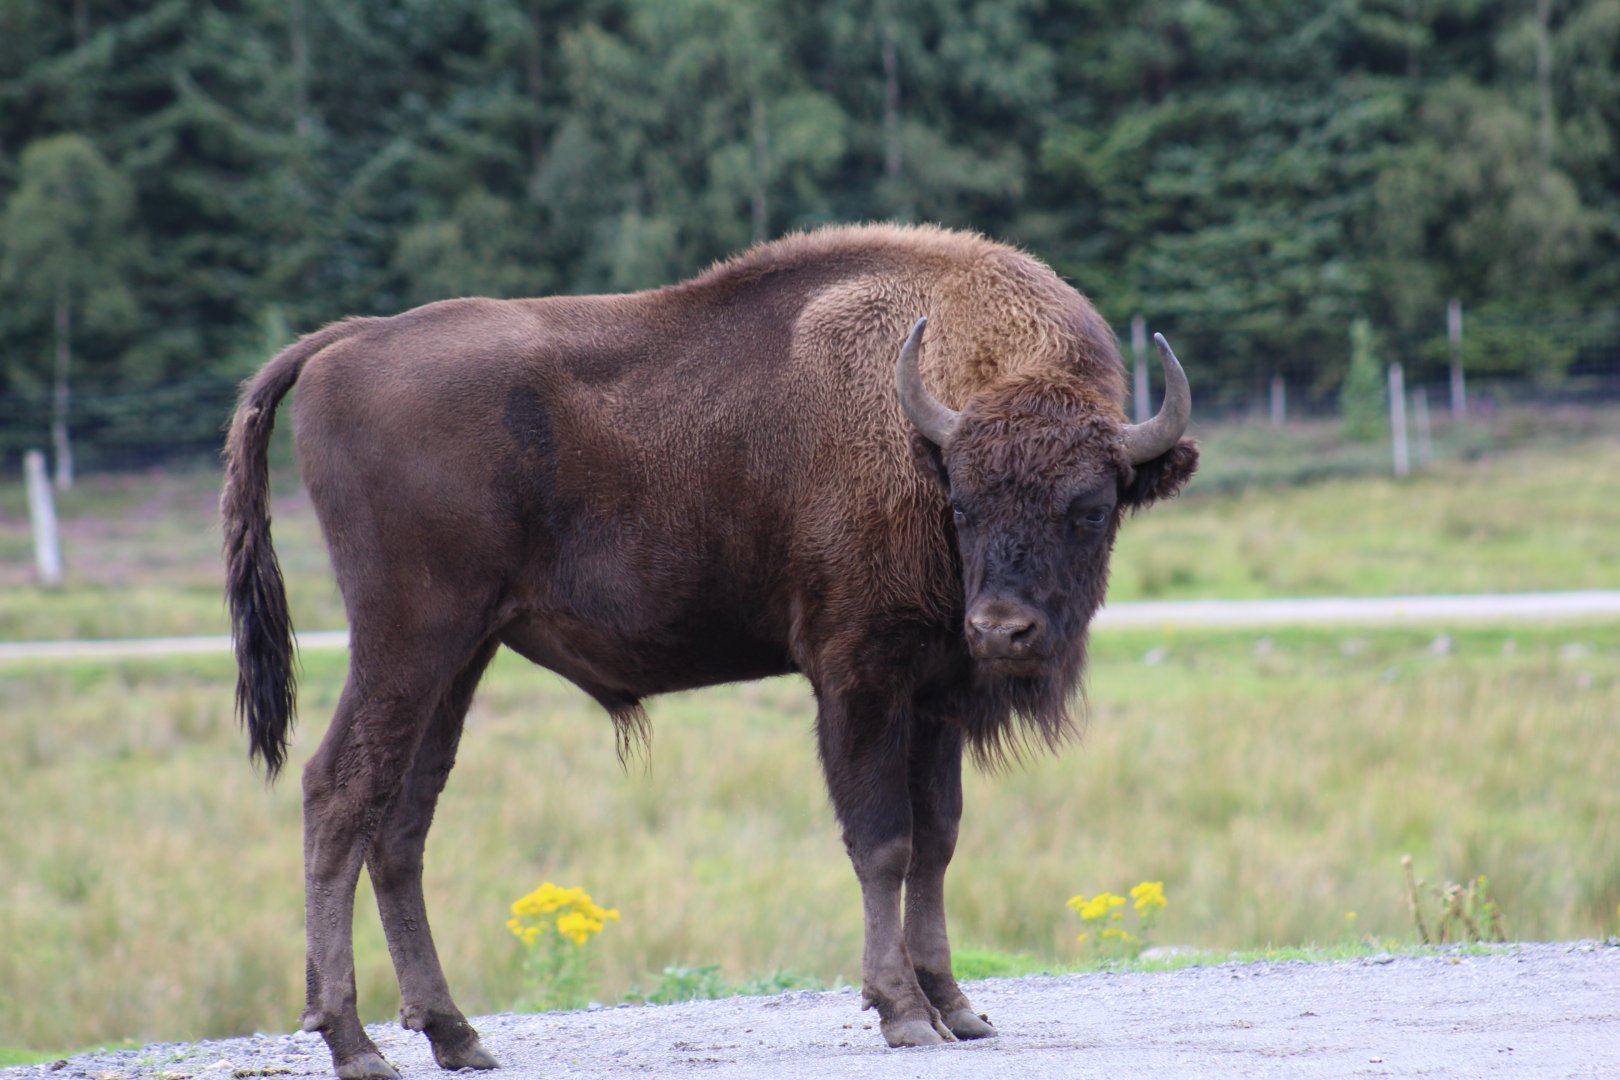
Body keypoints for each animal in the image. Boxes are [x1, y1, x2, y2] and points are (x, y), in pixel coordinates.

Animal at [222, 223, 1196, 1079]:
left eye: (1091, 507)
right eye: (961, 502)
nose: (1001, 629)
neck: (926, 426)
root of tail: (350, 341)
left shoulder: (935, 697)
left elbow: (938, 839)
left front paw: (958, 1007)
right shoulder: (858, 679)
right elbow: (883, 842)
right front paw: (903, 1012)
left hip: (460, 658)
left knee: (403, 822)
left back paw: (456, 1035)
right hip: (406, 641)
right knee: (339, 792)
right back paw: (354, 1042)